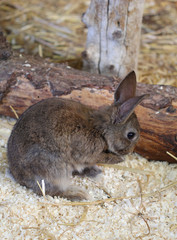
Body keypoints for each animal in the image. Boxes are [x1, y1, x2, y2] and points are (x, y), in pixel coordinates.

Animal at [7, 71, 147, 201]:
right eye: (131, 135)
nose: (129, 152)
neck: (100, 129)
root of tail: (18, 175)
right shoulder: (89, 153)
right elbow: (101, 157)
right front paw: (118, 159)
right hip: (55, 168)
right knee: (49, 189)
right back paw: (79, 194)